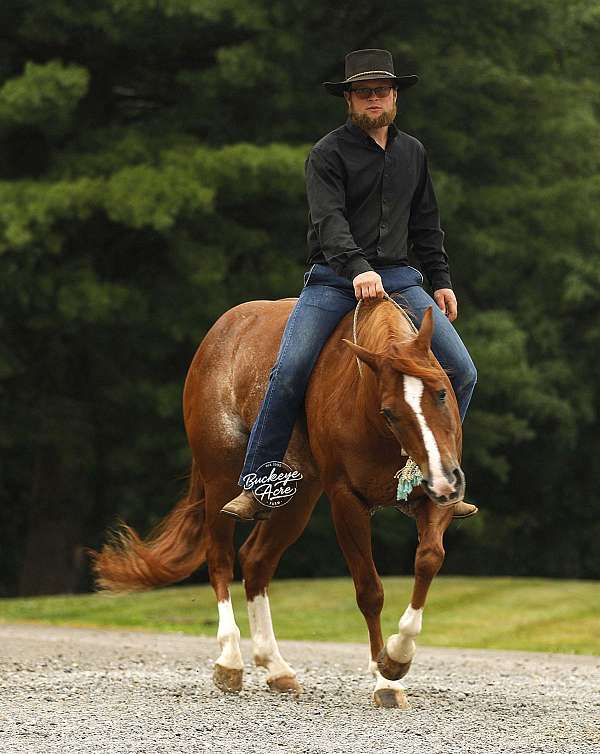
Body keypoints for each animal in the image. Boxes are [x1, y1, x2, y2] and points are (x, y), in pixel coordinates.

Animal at [91, 291, 464, 709]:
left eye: (441, 392)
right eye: (389, 412)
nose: (446, 478)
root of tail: (220, 333)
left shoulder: (434, 497)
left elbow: (428, 560)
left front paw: (397, 656)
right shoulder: (346, 502)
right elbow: (369, 590)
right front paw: (387, 677)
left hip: (296, 497)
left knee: (256, 562)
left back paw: (276, 667)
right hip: (220, 479)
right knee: (220, 560)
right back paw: (230, 660)